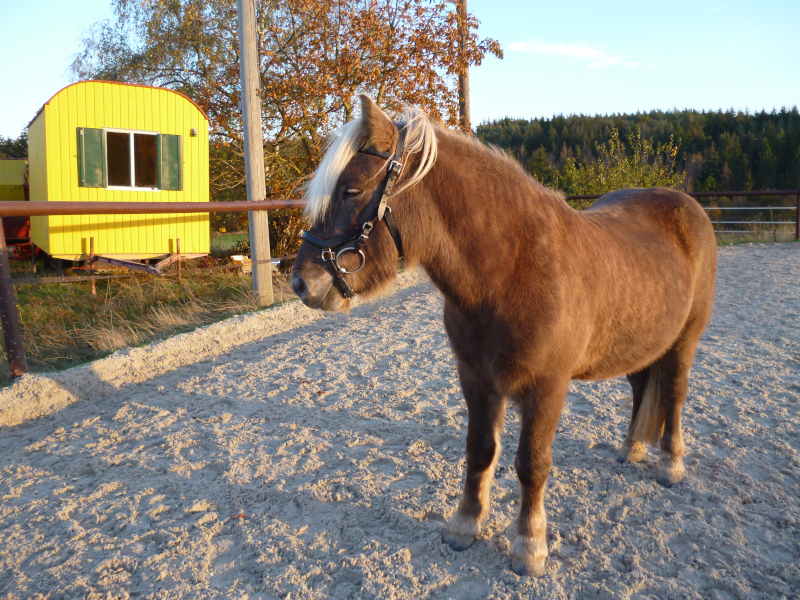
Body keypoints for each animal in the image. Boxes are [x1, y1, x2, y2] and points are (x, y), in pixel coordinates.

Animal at [290, 97, 716, 576]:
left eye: (351, 191)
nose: (301, 283)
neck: (510, 272)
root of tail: (686, 207)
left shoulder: (547, 388)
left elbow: (532, 463)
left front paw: (529, 546)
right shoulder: (476, 379)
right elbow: (479, 450)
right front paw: (464, 525)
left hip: (684, 340)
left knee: (674, 394)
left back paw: (670, 463)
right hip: (640, 343)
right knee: (642, 385)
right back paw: (633, 449)